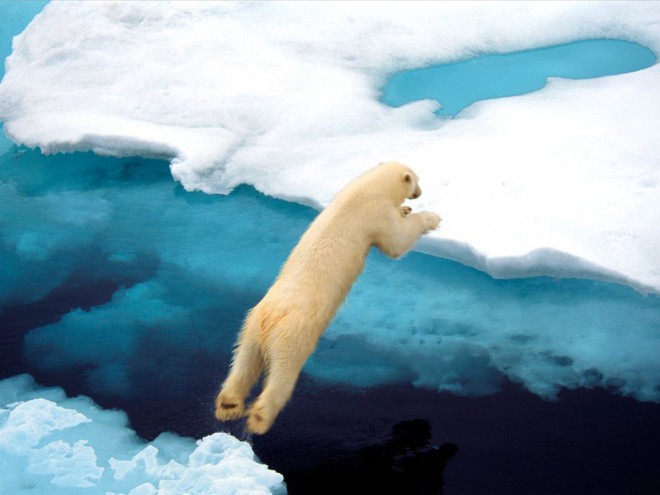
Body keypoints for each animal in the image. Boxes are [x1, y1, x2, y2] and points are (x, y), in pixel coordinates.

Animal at [217, 162, 440, 434]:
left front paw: (405, 209)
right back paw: (259, 418)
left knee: (243, 363)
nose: (419, 193)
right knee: (282, 374)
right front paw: (431, 218)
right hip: (293, 335)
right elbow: (397, 241)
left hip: (249, 328)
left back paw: (228, 405)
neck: (367, 187)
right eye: (417, 180)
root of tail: (269, 321)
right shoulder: (375, 215)